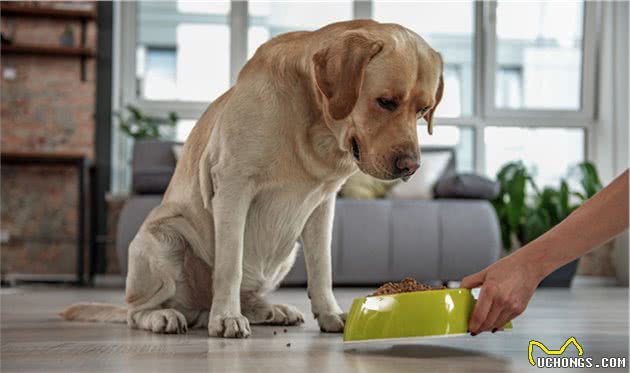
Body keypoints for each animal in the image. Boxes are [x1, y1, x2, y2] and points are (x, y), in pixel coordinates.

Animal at [60, 19, 444, 338]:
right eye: (386, 102)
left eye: (423, 110)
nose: (411, 167)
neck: (314, 126)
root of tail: (197, 308)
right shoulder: (233, 189)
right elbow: (229, 264)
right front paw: (227, 318)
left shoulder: (322, 206)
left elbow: (323, 268)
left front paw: (331, 314)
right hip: (163, 239)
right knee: (135, 311)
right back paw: (168, 316)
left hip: (287, 250)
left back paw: (270, 310)